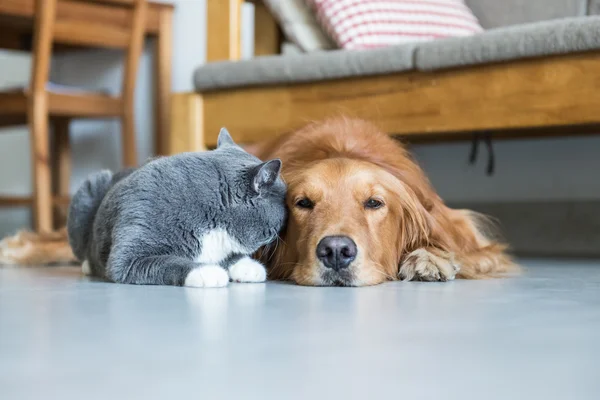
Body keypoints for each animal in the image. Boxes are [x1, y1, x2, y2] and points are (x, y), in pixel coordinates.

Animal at [67, 128, 288, 288]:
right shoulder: (129, 254)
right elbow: (168, 262)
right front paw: (207, 272)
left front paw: (247, 266)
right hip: (90, 187)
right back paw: (88, 265)